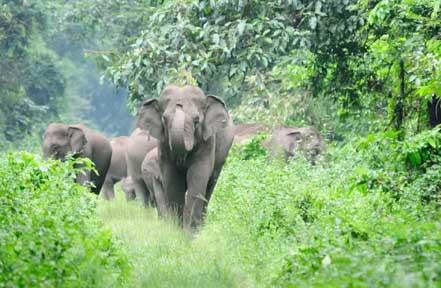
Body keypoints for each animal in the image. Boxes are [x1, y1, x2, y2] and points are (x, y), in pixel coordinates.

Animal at [138, 84, 235, 231]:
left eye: (197, 120)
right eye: (164, 119)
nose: (179, 105)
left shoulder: (207, 141)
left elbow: (197, 178)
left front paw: (191, 232)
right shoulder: (163, 144)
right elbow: (172, 181)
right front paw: (176, 230)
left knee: (210, 186)